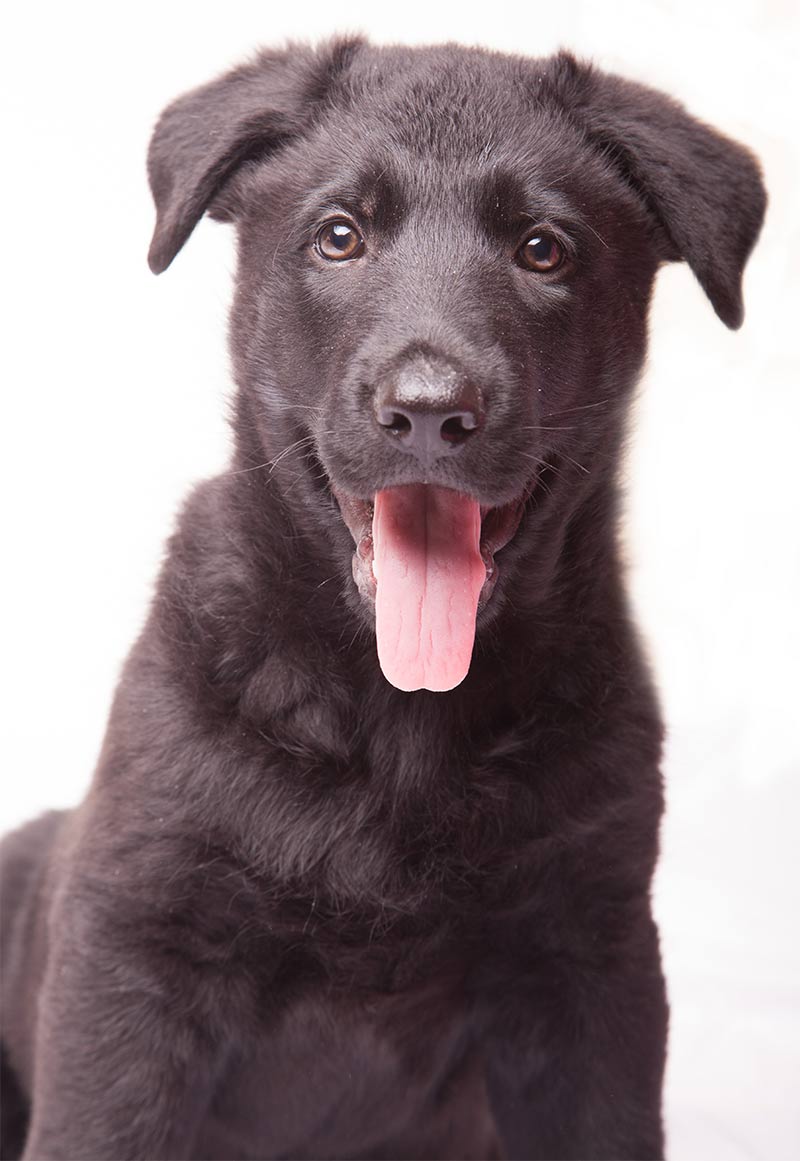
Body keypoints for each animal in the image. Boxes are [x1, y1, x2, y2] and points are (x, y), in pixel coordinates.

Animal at [0, 36, 761, 1161]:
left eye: (542, 249)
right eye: (339, 236)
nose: (431, 411)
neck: (401, 717)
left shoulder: (592, 955)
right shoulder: (133, 948)